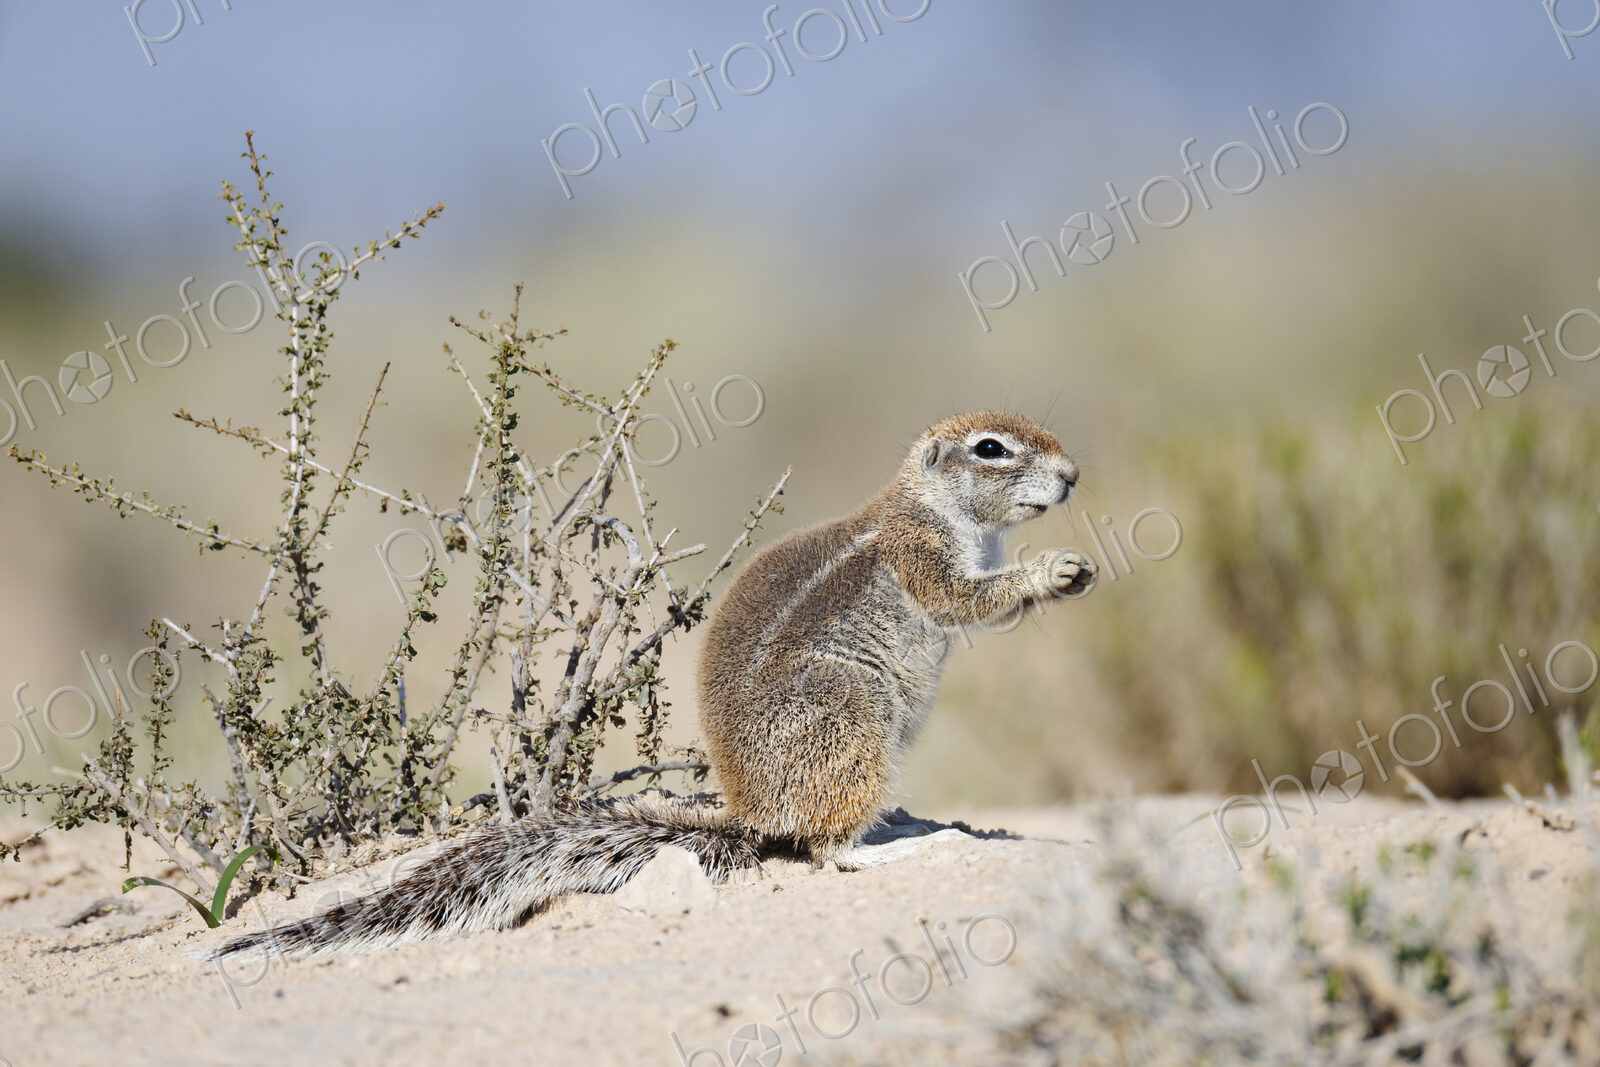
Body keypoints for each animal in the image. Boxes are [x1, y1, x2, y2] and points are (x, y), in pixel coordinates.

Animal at [207, 411, 1095, 960]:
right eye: (991, 448)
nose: (1074, 475)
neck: (935, 506)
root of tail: (752, 811)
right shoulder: (922, 558)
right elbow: (967, 602)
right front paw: (1052, 570)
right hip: (851, 711)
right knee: (826, 849)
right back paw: (904, 846)